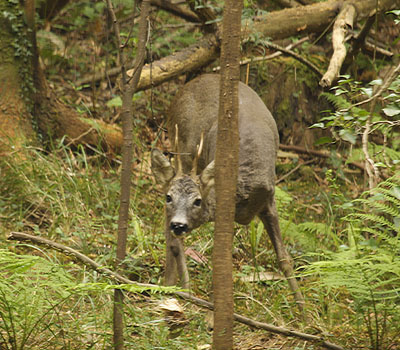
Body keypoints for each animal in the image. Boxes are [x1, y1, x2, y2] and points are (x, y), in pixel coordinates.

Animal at [152, 74, 304, 308]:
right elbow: (221, 263)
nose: (178, 224)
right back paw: (178, 288)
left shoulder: (269, 200)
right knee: (174, 240)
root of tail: (189, 83)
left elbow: (284, 258)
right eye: (169, 197)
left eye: (197, 200)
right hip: (184, 149)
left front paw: (304, 310)